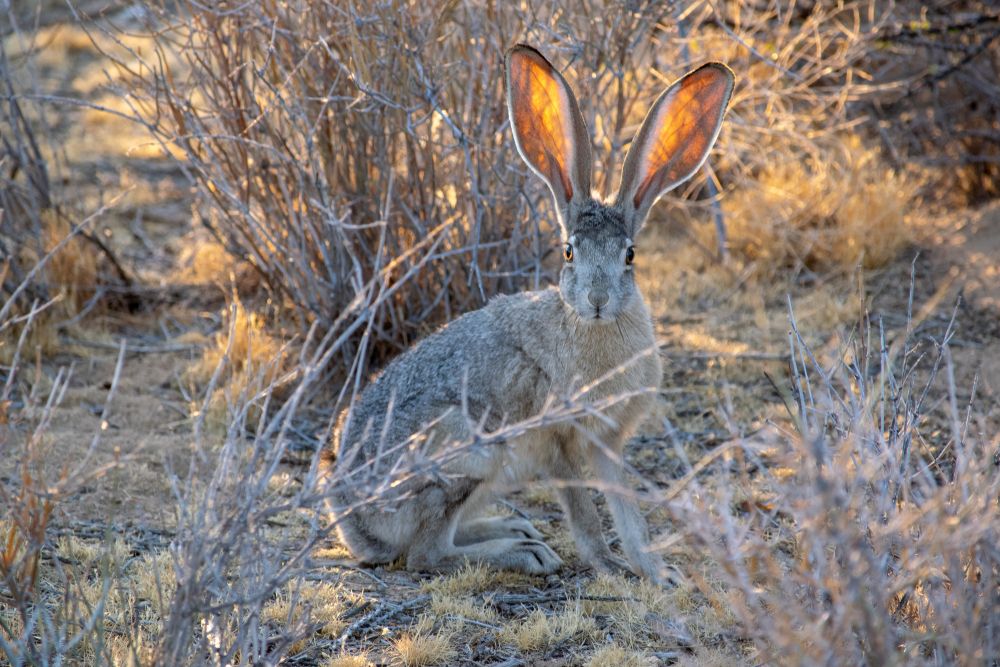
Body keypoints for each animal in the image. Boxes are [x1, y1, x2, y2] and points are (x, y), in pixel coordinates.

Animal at [320, 44, 734, 583]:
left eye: (630, 255)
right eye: (568, 252)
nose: (597, 300)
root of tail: (351, 519)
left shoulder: (607, 441)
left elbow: (627, 511)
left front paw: (656, 571)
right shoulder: (559, 438)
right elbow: (585, 513)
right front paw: (608, 565)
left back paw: (517, 530)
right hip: (467, 450)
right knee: (425, 553)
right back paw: (522, 553)